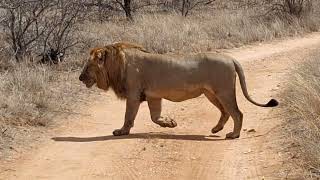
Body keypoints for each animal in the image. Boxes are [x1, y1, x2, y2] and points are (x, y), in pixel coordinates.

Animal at [79, 42, 278, 139]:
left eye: (88, 66)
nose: (80, 78)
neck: (117, 63)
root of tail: (230, 58)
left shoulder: (134, 94)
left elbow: (128, 116)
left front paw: (121, 132)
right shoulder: (153, 96)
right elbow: (155, 117)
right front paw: (170, 123)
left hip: (224, 92)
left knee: (237, 113)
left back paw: (233, 135)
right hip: (211, 94)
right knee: (226, 112)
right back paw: (216, 129)